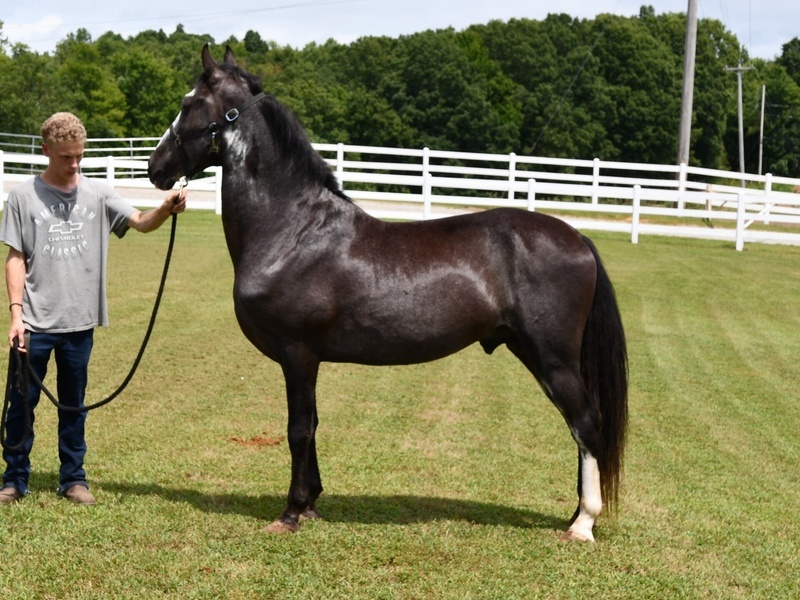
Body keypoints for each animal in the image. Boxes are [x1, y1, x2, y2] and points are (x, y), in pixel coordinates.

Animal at [148, 45, 628, 542]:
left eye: (187, 103)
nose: (155, 168)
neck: (291, 229)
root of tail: (578, 238)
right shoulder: (308, 359)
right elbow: (313, 424)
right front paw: (313, 502)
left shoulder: (297, 353)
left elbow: (298, 429)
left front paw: (292, 511)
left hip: (552, 357)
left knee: (585, 424)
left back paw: (583, 523)